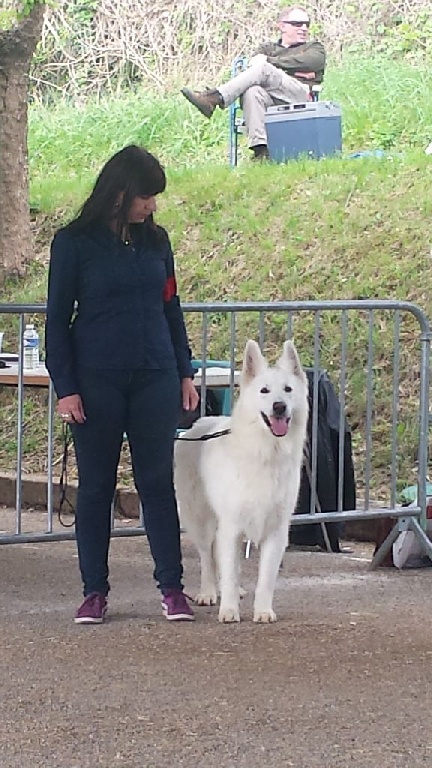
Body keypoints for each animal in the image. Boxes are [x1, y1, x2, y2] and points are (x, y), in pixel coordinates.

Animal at [174, 340, 308, 624]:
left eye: (288, 389)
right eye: (264, 390)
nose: (279, 406)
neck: (265, 452)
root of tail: (198, 423)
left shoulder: (275, 531)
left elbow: (265, 578)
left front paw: (263, 611)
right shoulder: (232, 526)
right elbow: (228, 570)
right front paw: (229, 610)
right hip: (202, 519)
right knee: (207, 556)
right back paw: (209, 592)